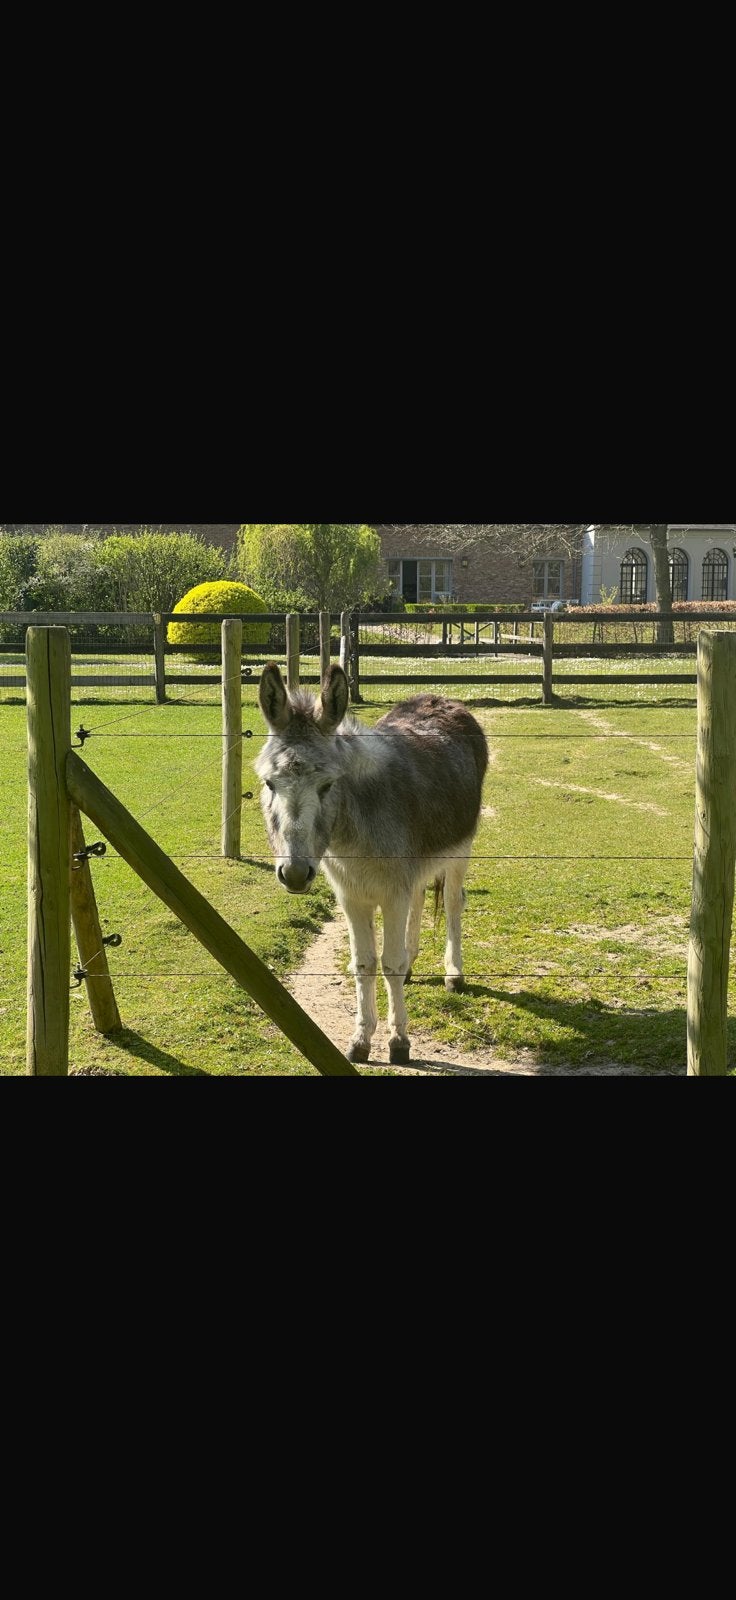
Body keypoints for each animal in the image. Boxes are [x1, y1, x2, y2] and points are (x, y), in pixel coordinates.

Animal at [256, 663, 489, 1066]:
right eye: (270, 783)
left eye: (328, 785)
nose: (296, 874)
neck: (353, 832)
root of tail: (440, 698)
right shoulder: (353, 896)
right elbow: (363, 964)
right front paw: (361, 1040)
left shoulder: (392, 891)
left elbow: (389, 963)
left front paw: (399, 1042)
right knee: (419, 899)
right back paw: (414, 965)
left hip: (461, 850)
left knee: (454, 903)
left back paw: (453, 974)